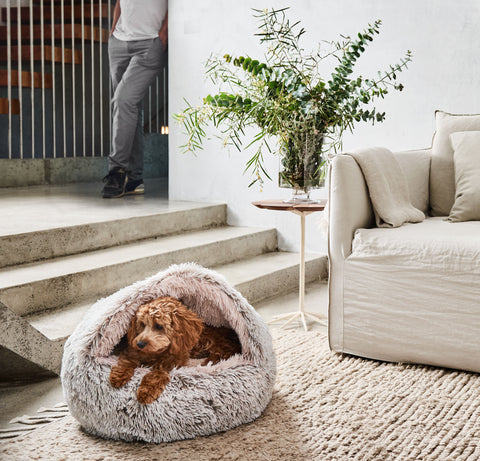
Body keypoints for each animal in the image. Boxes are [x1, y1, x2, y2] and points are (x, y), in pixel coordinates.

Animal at [110, 296, 242, 400]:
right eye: (142, 324)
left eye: (159, 326)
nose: (140, 344)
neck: (156, 352)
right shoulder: (132, 351)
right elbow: (127, 361)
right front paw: (118, 376)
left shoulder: (173, 362)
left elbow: (157, 374)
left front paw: (146, 391)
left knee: (221, 353)